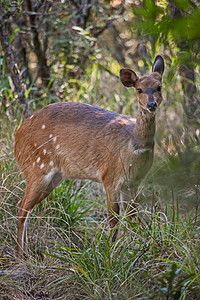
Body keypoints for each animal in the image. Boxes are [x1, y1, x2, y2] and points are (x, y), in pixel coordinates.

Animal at [14, 54, 164, 255]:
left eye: (159, 86)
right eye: (139, 89)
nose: (151, 104)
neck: (133, 145)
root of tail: (18, 135)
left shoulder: (132, 182)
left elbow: (133, 217)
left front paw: (146, 246)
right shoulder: (109, 177)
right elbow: (113, 218)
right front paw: (111, 252)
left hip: (54, 177)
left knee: (24, 206)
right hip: (37, 168)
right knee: (22, 206)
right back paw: (22, 255)